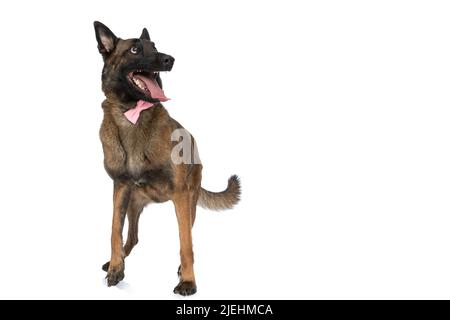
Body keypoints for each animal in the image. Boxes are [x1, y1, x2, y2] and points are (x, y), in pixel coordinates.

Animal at [93, 20, 241, 296]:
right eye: (135, 50)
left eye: (155, 47)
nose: (169, 59)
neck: (133, 114)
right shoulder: (120, 188)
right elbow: (115, 231)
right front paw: (116, 268)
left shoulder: (181, 196)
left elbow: (186, 244)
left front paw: (188, 281)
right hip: (132, 202)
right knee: (132, 237)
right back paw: (118, 260)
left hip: (189, 201)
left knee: (186, 233)